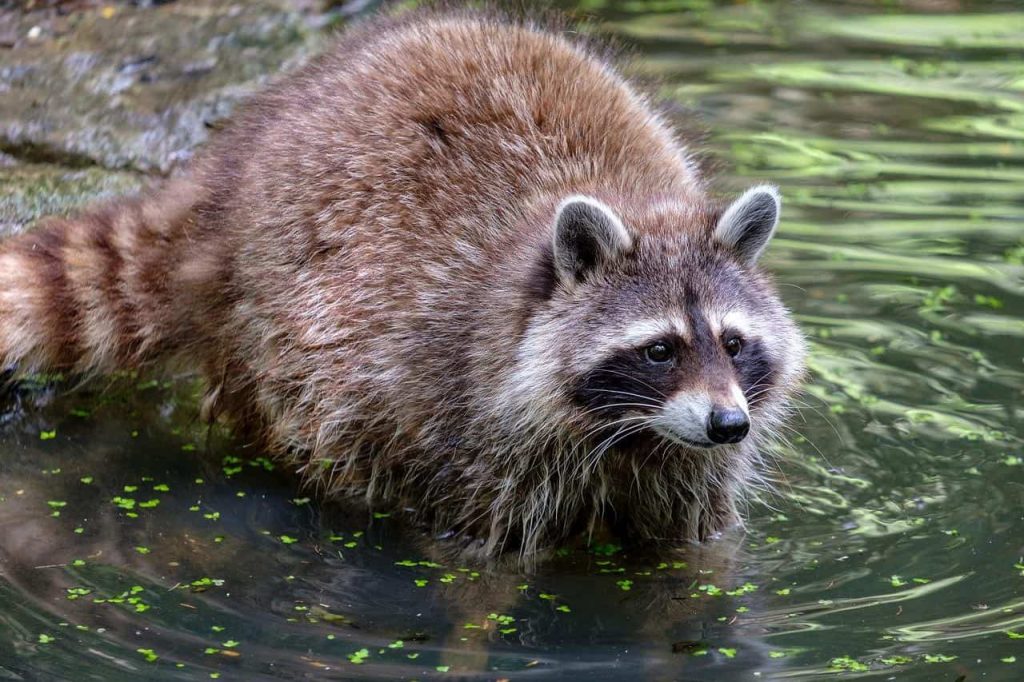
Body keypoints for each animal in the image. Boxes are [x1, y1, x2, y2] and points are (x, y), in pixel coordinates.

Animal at [0, 9, 802, 557]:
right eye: (660, 349)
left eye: (733, 343)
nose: (730, 424)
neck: (631, 436)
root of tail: (226, 178)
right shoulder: (468, 422)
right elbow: (481, 562)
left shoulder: (689, 464)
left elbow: (696, 554)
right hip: (282, 331)